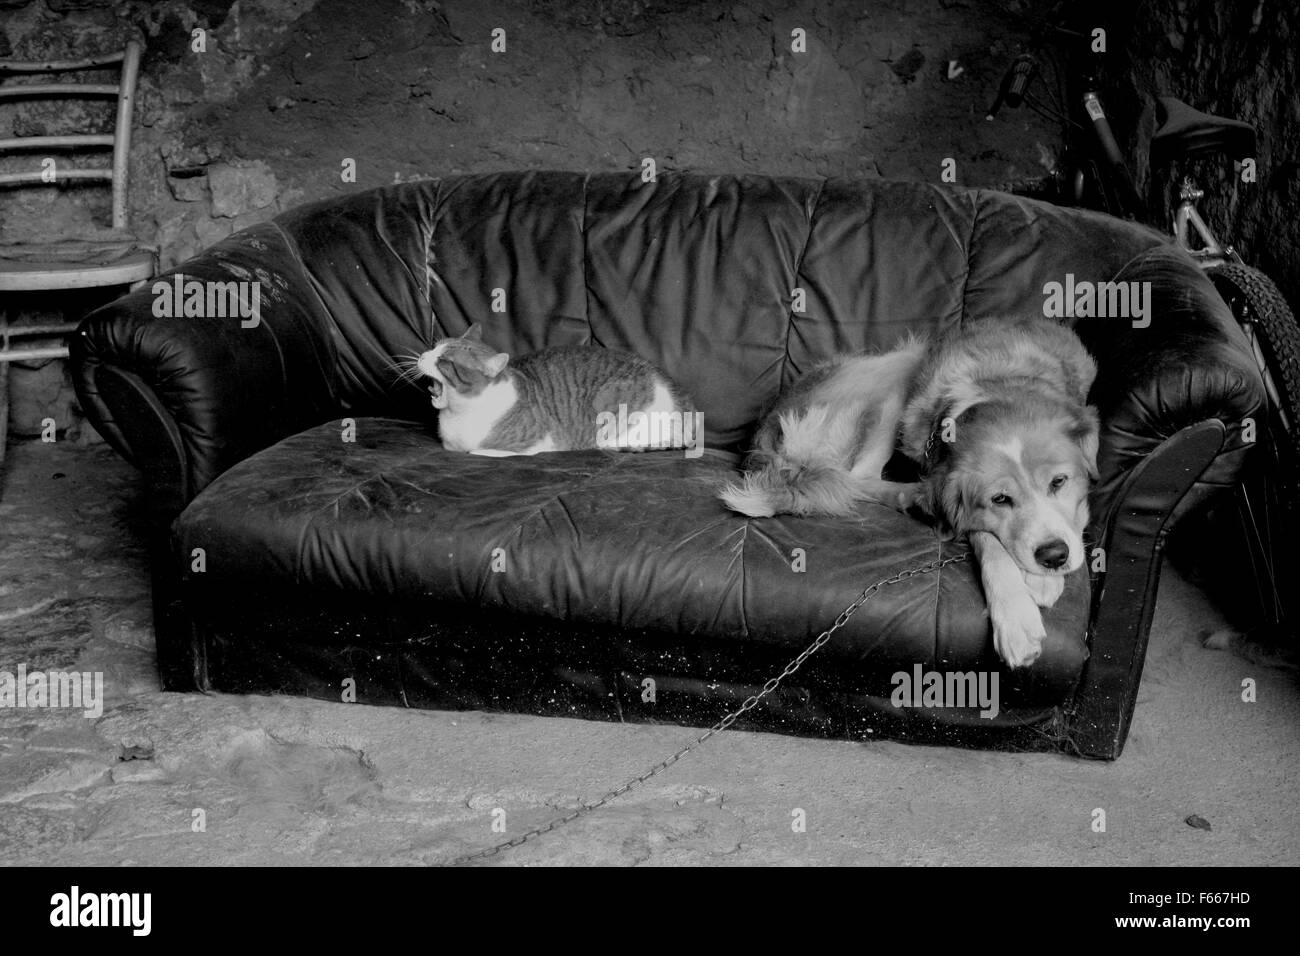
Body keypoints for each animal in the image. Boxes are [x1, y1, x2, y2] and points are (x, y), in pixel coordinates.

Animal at [413, 327, 702, 457]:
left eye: (445, 362)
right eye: (434, 347)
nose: (421, 356)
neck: (458, 414)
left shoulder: (537, 443)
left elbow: (480, 451)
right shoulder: (449, 445)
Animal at [722, 317, 1097, 671]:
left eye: (1059, 482)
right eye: (999, 500)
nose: (1053, 557)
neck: (1000, 381)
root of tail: (768, 430)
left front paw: (1046, 579)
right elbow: (986, 538)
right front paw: (1017, 617)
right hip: (898, 368)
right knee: (859, 477)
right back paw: (914, 497)